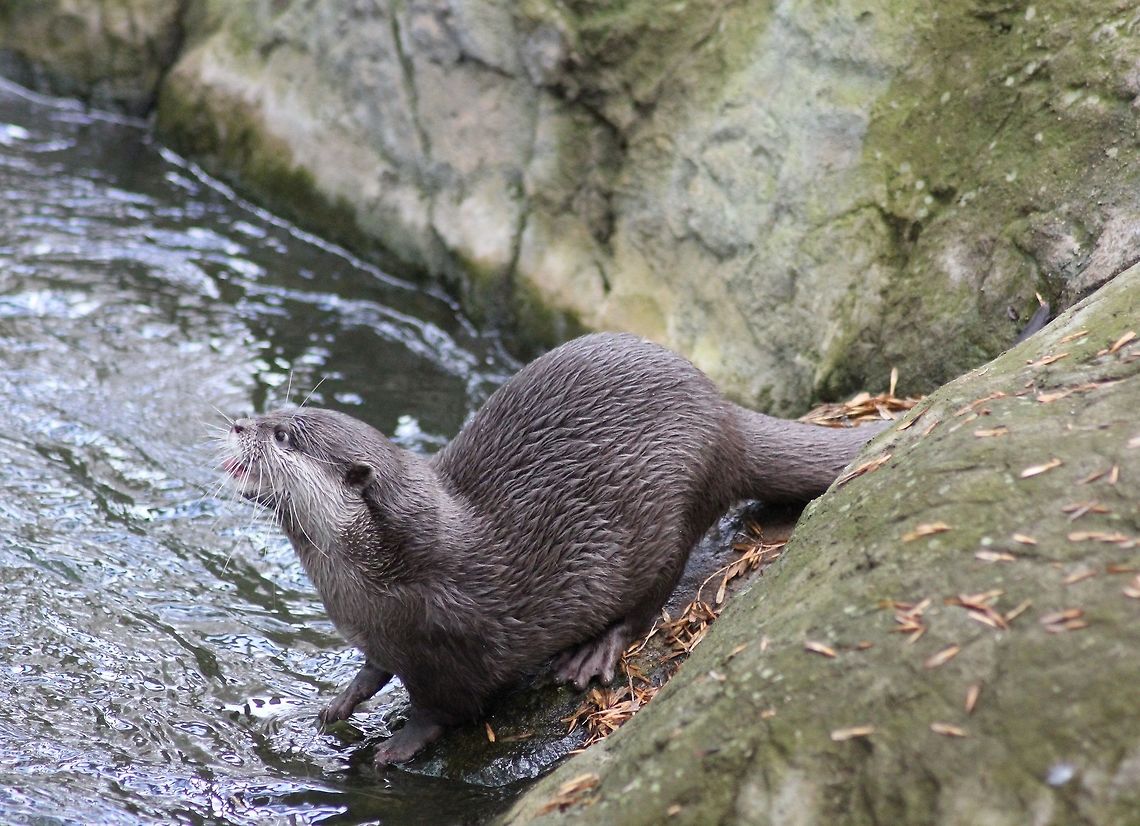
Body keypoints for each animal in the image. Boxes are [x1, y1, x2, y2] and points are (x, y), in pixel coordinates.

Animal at [222, 332, 885, 764]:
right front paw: (339, 701)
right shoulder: (378, 634)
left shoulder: (453, 645)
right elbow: (373, 668)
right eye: (275, 412)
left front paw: (400, 744)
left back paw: (593, 653)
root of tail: (726, 419)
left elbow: (447, 708)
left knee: (649, 603)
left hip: (673, 512)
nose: (237, 423)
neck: (382, 579)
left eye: (284, 435)